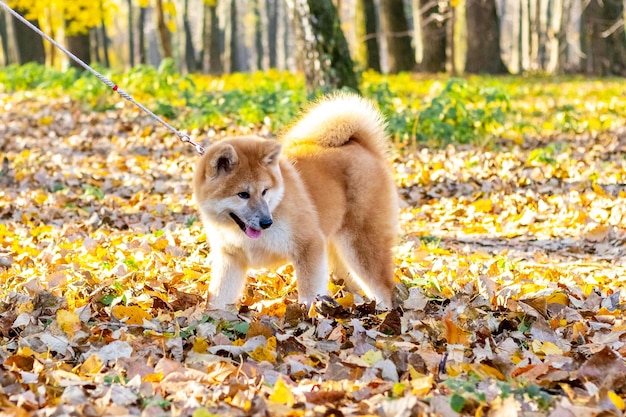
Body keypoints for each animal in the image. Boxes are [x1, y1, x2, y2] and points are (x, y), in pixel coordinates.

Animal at [193, 94, 398, 308]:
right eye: (243, 194)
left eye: (265, 191)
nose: (266, 222)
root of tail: (362, 146)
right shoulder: (230, 260)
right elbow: (218, 298)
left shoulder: (309, 245)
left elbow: (309, 294)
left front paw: (310, 313)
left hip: (360, 244)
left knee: (382, 286)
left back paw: (383, 311)